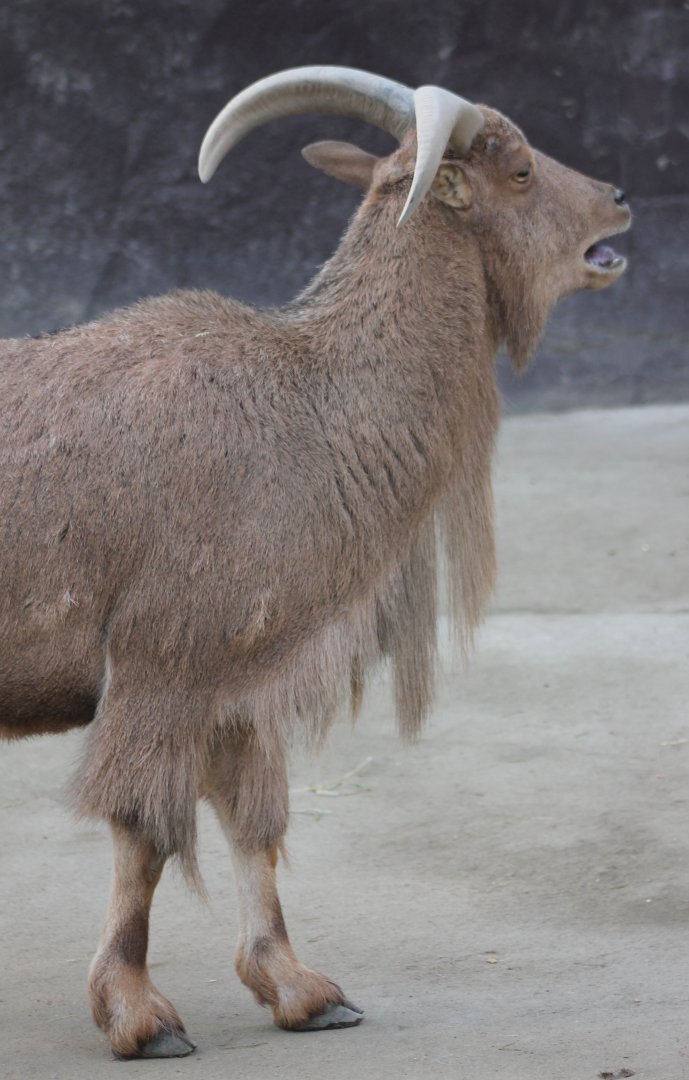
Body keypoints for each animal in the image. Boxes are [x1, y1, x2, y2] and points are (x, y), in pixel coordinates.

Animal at [0, 65, 631, 1058]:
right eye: (523, 170)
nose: (618, 200)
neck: (309, 405)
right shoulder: (163, 665)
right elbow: (145, 835)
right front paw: (140, 1016)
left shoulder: (237, 687)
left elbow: (255, 824)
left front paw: (302, 990)